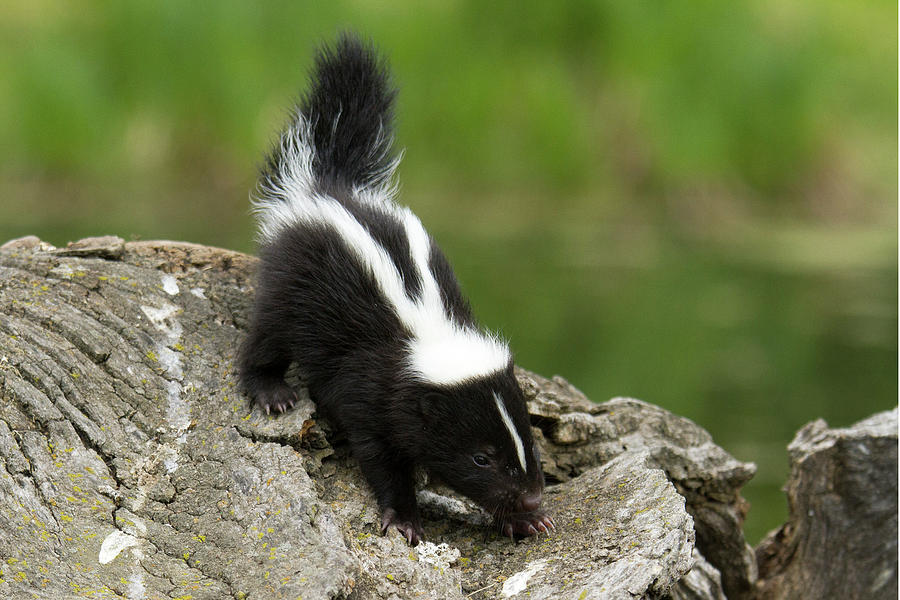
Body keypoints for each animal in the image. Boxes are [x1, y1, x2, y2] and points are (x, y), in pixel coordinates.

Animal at [236, 34, 552, 548]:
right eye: (480, 456)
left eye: (526, 439)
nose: (530, 498)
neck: (433, 330)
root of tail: (328, 188)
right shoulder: (370, 385)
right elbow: (380, 455)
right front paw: (403, 517)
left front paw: (520, 521)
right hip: (291, 281)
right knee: (267, 334)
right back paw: (271, 390)